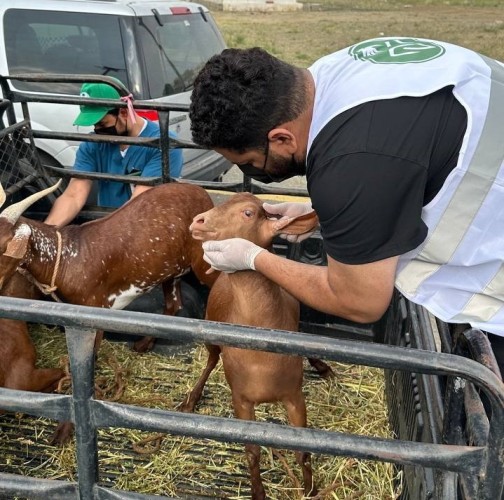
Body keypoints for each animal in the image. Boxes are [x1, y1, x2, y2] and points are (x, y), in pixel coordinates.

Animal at [179, 192, 332, 500]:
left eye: (248, 213)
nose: (197, 221)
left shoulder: (294, 395)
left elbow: (304, 452)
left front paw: (310, 490)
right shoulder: (242, 398)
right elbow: (252, 452)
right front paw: (258, 493)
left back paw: (321, 365)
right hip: (212, 330)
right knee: (211, 361)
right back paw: (192, 398)